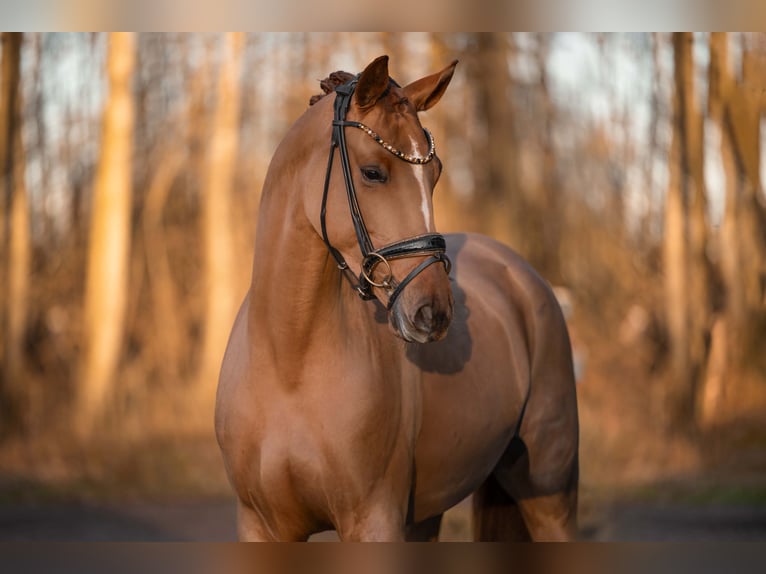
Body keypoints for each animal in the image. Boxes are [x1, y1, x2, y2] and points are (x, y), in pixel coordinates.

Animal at [215, 55, 579, 541]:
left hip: (549, 495)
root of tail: (522, 274)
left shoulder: (373, 520)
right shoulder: (262, 526)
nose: (434, 312)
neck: (288, 366)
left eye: (436, 173)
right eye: (372, 172)